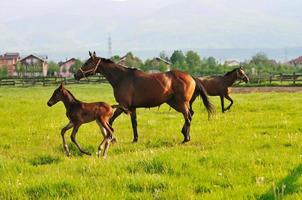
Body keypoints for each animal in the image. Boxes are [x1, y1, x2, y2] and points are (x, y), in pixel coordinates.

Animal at [74, 50, 214, 143]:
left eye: (87, 63)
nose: (76, 75)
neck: (121, 78)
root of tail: (191, 77)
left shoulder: (123, 106)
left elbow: (111, 120)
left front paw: (112, 137)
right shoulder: (132, 108)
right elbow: (134, 123)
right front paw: (135, 139)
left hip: (181, 103)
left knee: (188, 117)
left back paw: (186, 138)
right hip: (175, 103)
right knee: (190, 115)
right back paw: (184, 134)